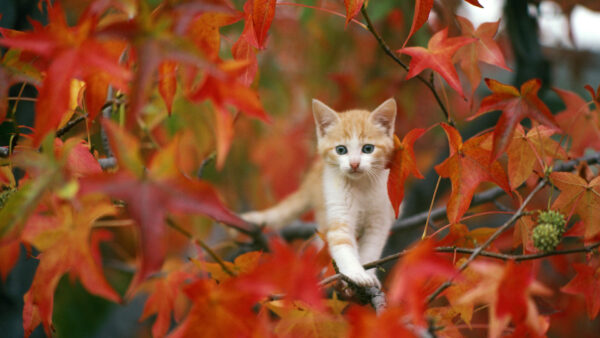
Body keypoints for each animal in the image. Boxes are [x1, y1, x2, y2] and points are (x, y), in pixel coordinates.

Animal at [241, 98, 396, 288]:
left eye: (368, 149)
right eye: (341, 150)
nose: (354, 164)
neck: (361, 185)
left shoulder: (379, 219)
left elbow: (372, 249)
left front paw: (368, 274)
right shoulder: (338, 208)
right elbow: (341, 243)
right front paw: (355, 273)